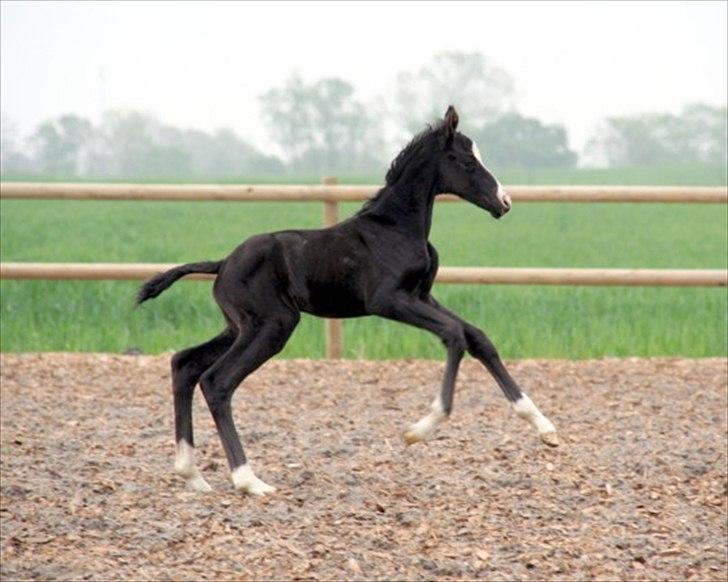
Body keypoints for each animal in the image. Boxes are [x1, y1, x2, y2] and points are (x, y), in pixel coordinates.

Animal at [138, 106, 556, 498]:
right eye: (468, 162)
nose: (504, 202)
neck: (395, 227)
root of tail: (222, 263)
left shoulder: (421, 295)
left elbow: (478, 338)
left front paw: (544, 427)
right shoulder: (388, 300)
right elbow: (454, 335)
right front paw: (420, 428)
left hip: (239, 326)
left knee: (185, 364)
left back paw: (192, 474)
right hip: (273, 325)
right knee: (218, 381)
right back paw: (248, 480)